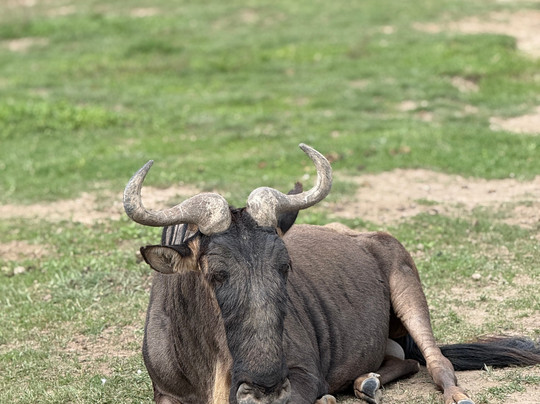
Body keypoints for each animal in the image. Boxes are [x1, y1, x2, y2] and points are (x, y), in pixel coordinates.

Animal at [123, 144, 540, 404]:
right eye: (215, 275)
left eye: (285, 266)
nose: (265, 389)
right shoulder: (165, 393)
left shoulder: (304, 376)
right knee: (403, 361)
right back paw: (366, 382)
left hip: (408, 289)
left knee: (437, 363)